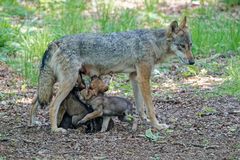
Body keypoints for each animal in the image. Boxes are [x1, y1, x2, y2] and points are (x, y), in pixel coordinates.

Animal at [30, 16, 195, 132]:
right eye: (182, 46)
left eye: (190, 46)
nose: (192, 62)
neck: (153, 43)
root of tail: (55, 42)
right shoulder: (144, 78)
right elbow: (150, 107)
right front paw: (157, 125)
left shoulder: (134, 77)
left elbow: (140, 106)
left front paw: (144, 120)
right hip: (67, 83)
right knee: (52, 105)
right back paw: (55, 129)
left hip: (52, 84)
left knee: (34, 101)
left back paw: (33, 123)